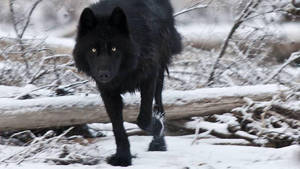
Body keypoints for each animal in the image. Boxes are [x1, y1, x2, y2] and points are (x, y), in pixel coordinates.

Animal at [73, 0, 180, 166]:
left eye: (114, 48)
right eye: (93, 50)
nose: (103, 74)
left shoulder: (149, 77)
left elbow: (143, 119)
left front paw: (158, 126)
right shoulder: (108, 92)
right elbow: (118, 128)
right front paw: (123, 158)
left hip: (160, 73)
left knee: (159, 106)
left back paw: (158, 144)